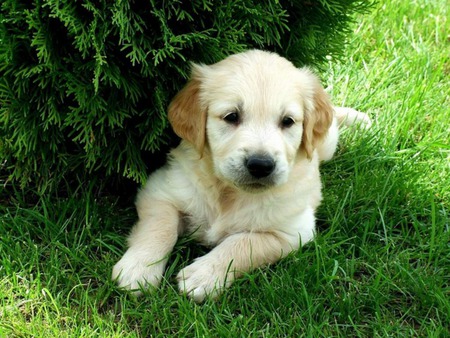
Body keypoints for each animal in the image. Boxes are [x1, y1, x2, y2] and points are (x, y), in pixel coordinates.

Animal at [111, 49, 370, 302]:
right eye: (231, 116)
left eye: (287, 121)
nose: (261, 165)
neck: (227, 192)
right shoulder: (160, 191)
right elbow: (160, 228)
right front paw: (138, 269)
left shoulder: (292, 231)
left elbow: (243, 243)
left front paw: (204, 275)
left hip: (327, 145)